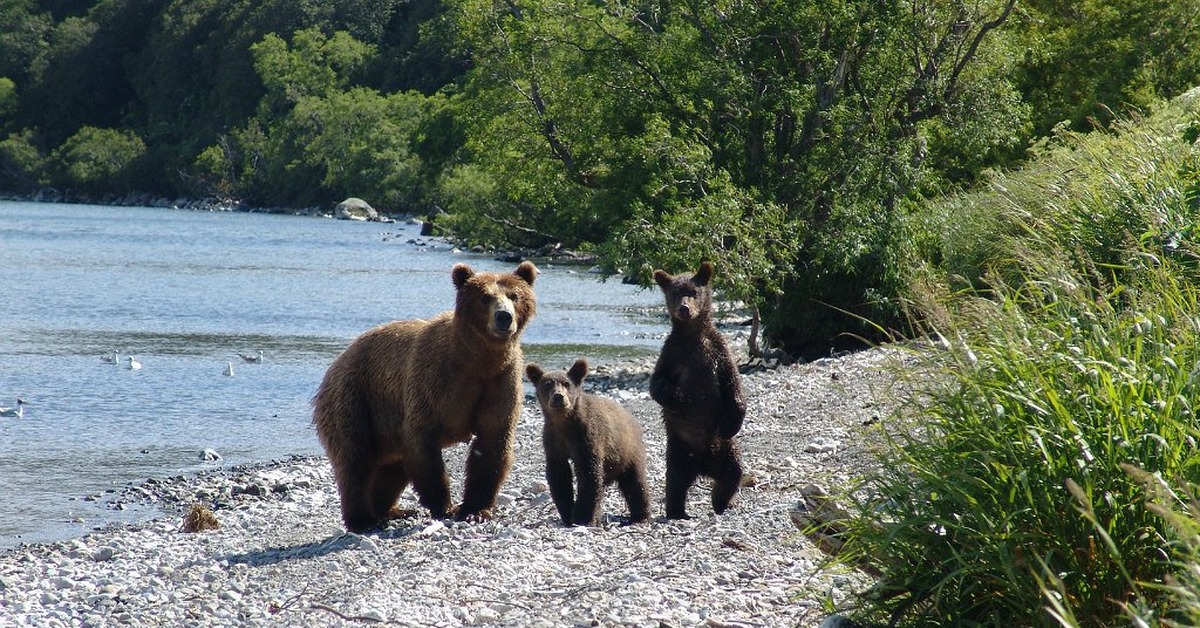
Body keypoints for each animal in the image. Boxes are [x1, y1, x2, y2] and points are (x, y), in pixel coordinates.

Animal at [312, 260, 537, 530]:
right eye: (485, 297)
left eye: (514, 296)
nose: (504, 316)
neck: (477, 360)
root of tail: (336, 362)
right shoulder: (435, 381)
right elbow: (424, 445)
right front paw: (444, 505)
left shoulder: (500, 380)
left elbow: (492, 443)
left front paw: (475, 510)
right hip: (355, 398)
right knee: (355, 459)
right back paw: (363, 518)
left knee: (391, 468)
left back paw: (392, 511)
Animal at [528, 357, 652, 525]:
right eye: (547, 384)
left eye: (567, 383)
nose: (558, 396)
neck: (563, 422)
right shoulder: (553, 440)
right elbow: (559, 475)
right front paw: (567, 514)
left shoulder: (586, 437)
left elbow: (588, 473)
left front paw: (581, 516)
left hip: (629, 451)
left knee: (635, 483)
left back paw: (640, 516)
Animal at [652, 261, 744, 521]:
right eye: (675, 292)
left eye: (693, 292)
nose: (684, 309)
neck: (692, 334)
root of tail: (704, 467)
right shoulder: (672, 354)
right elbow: (657, 386)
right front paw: (682, 398)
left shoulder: (719, 351)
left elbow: (733, 385)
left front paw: (732, 421)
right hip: (679, 450)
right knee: (675, 482)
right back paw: (677, 512)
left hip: (726, 449)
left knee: (733, 473)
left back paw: (720, 504)